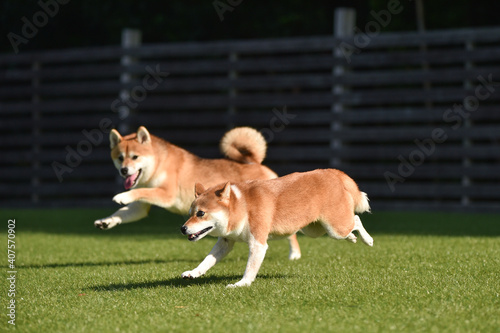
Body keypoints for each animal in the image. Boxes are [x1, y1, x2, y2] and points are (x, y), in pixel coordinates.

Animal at [95, 124, 302, 260]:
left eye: (135, 157)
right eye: (120, 158)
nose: (124, 170)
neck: (159, 164)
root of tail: (254, 162)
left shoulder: (166, 194)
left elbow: (141, 192)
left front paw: (122, 196)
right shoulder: (142, 206)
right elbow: (123, 212)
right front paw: (106, 221)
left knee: (291, 232)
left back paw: (294, 254)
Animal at [180, 170, 372, 286]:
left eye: (201, 213)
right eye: (190, 213)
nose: (182, 228)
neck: (243, 207)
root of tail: (334, 173)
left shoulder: (257, 243)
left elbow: (250, 268)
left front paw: (242, 284)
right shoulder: (226, 242)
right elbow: (207, 261)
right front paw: (194, 273)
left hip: (334, 228)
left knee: (356, 220)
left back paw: (368, 239)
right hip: (315, 229)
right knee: (351, 226)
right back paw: (353, 238)